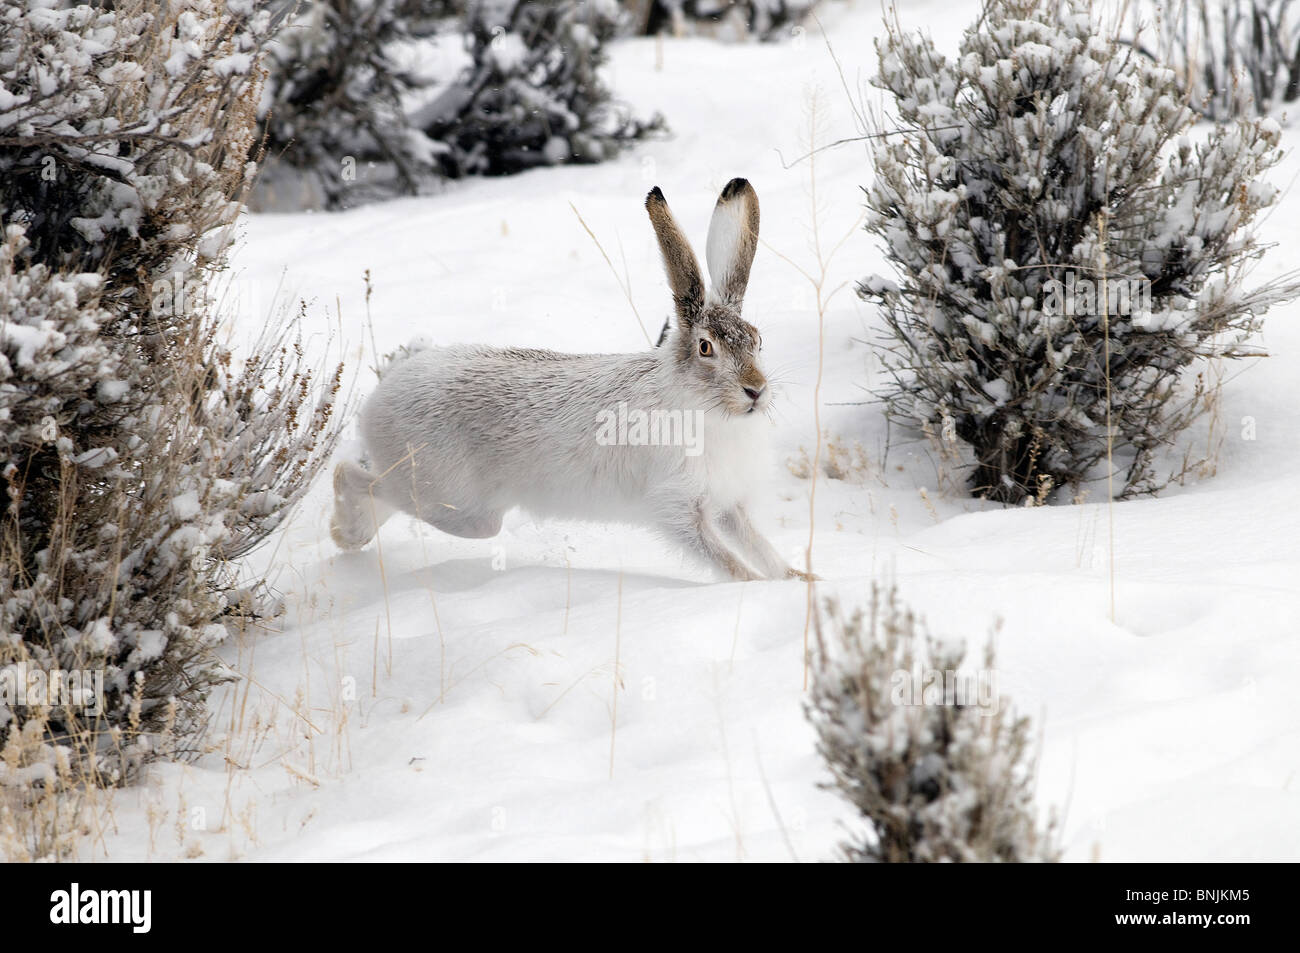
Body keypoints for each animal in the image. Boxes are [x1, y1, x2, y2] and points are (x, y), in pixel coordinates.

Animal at [330, 178, 806, 583]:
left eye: (757, 340)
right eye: (706, 348)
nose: (756, 391)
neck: (703, 408)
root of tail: (377, 401)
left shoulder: (728, 505)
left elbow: (759, 546)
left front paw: (800, 579)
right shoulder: (677, 506)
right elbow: (726, 559)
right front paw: (758, 586)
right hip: (455, 504)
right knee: (357, 478)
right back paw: (345, 530)